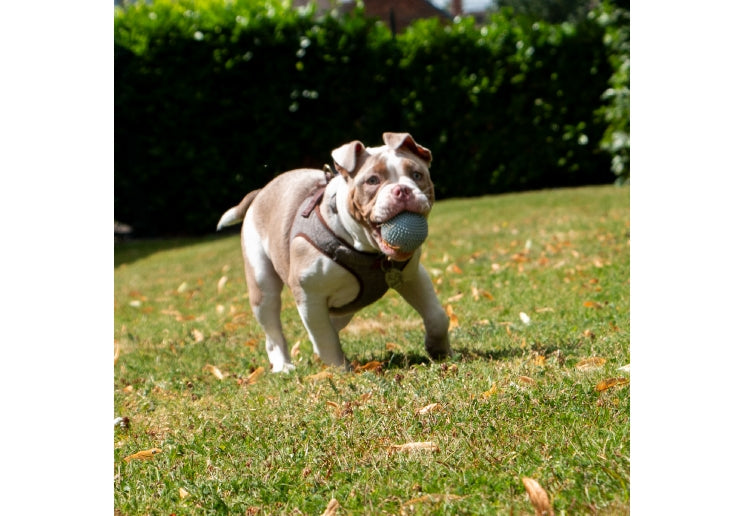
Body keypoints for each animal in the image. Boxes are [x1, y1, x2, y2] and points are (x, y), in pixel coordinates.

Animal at [215, 132, 448, 370]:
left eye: (417, 175)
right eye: (372, 181)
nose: (403, 190)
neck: (362, 246)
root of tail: (260, 192)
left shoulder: (412, 276)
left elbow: (437, 316)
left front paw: (439, 350)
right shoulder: (309, 294)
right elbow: (324, 338)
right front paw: (340, 370)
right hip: (262, 286)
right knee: (274, 330)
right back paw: (283, 365)